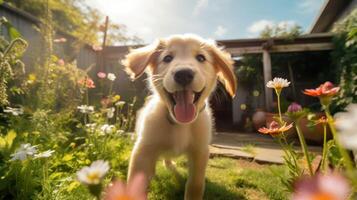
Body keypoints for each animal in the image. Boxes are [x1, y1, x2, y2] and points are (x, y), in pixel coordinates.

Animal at [122, 34, 236, 200]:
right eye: (167, 58)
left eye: (201, 58)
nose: (183, 74)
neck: (180, 124)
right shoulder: (143, 151)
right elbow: (135, 186)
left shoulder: (200, 151)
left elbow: (195, 185)